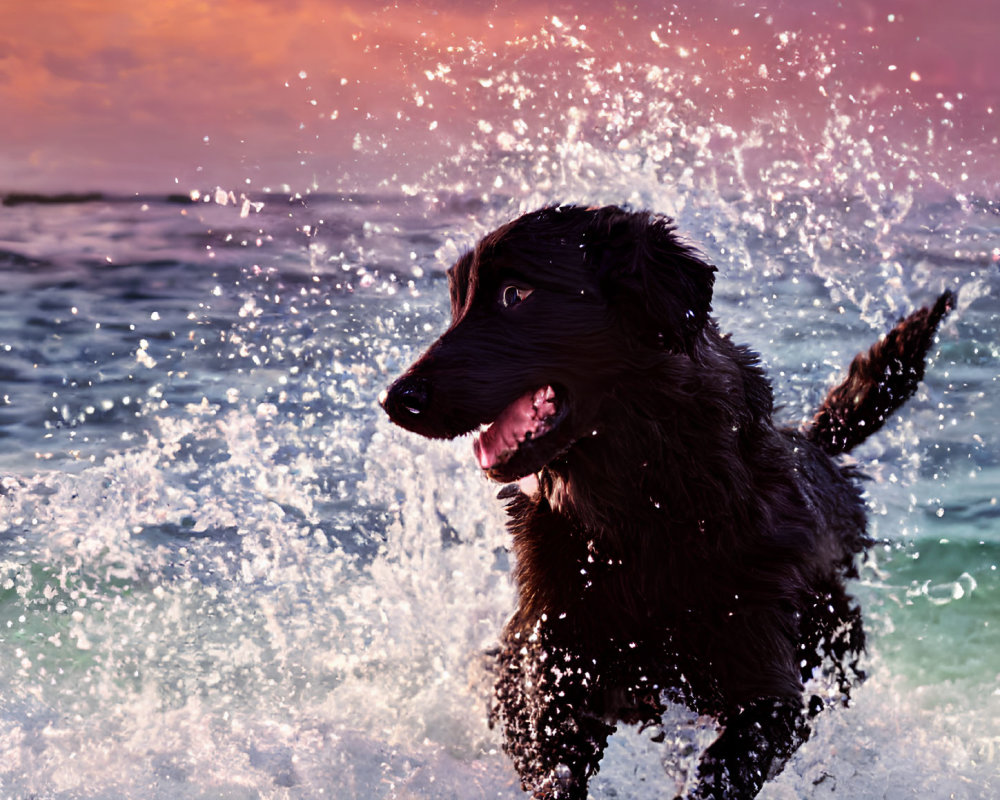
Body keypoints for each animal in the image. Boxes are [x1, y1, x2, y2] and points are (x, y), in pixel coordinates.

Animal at [380, 208, 952, 800]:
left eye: (516, 293)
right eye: (457, 301)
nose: (397, 399)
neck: (640, 515)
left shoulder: (769, 687)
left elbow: (726, 764)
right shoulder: (558, 672)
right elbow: (553, 763)